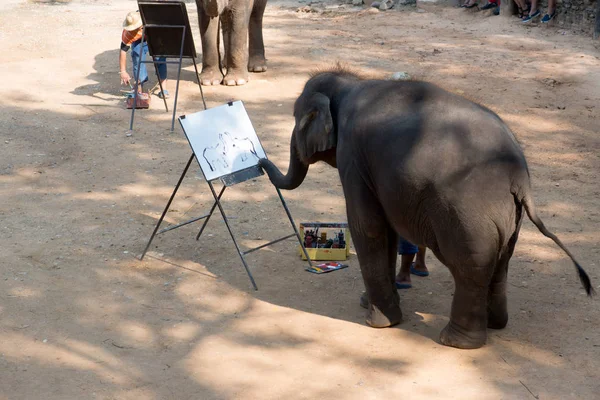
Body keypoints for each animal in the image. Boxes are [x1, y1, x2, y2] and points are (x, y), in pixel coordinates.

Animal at [258, 67, 596, 348]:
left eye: (297, 120)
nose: (260, 160)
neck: (349, 82)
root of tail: (519, 175)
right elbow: (387, 231)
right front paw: (368, 303)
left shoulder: (353, 156)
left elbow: (368, 227)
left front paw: (378, 322)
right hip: (509, 216)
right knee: (501, 262)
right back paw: (496, 325)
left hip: (467, 215)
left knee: (469, 267)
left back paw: (456, 341)